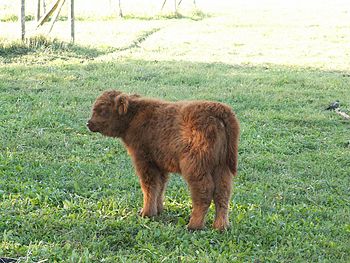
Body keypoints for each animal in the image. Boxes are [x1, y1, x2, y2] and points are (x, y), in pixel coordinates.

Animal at [87, 91, 241, 231]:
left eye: (102, 109)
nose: (88, 123)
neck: (134, 117)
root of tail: (218, 109)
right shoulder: (159, 164)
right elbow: (160, 186)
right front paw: (159, 209)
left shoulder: (144, 162)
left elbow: (149, 186)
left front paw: (146, 213)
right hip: (221, 167)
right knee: (223, 193)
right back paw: (221, 226)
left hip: (196, 167)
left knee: (204, 192)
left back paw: (194, 225)